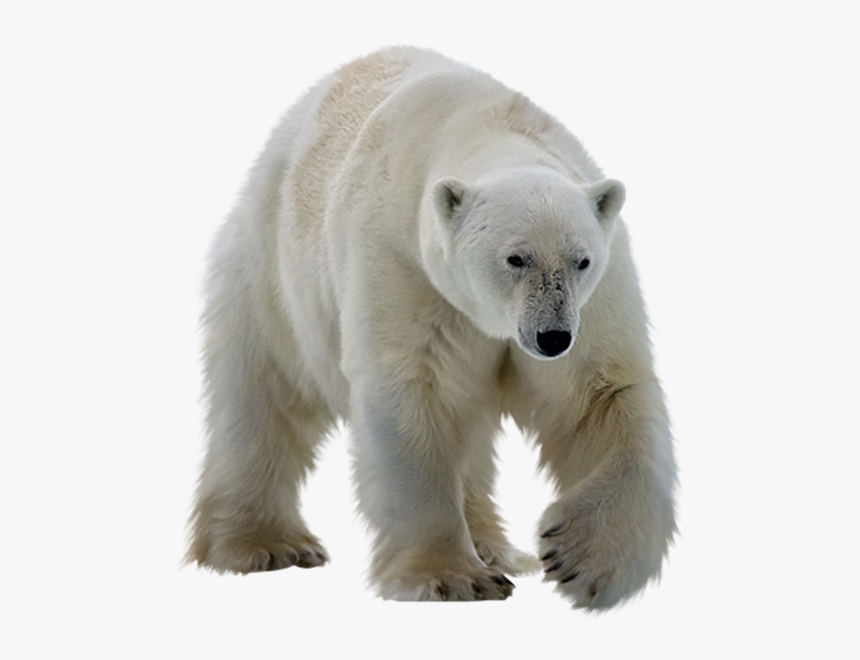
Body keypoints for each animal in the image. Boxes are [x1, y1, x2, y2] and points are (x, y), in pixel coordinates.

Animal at [188, 46, 677, 609]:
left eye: (581, 260)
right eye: (515, 258)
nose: (552, 338)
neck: (482, 125)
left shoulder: (594, 299)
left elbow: (601, 393)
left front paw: (582, 557)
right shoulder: (403, 265)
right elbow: (415, 395)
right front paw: (453, 578)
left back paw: (493, 546)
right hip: (273, 277)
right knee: (261, 399)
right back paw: (264, 544)